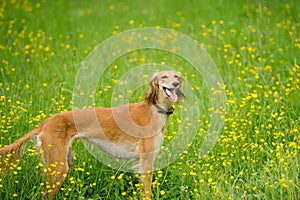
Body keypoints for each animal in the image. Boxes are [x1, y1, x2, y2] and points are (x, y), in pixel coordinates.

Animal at [0, 69, 185, 199]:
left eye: (176, 76)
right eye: (164, 77)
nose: (175, 84)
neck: (155, 109)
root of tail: (45, 123)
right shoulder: (146, 162)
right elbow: (147, 193)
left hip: (63, 160)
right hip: (59, 167)